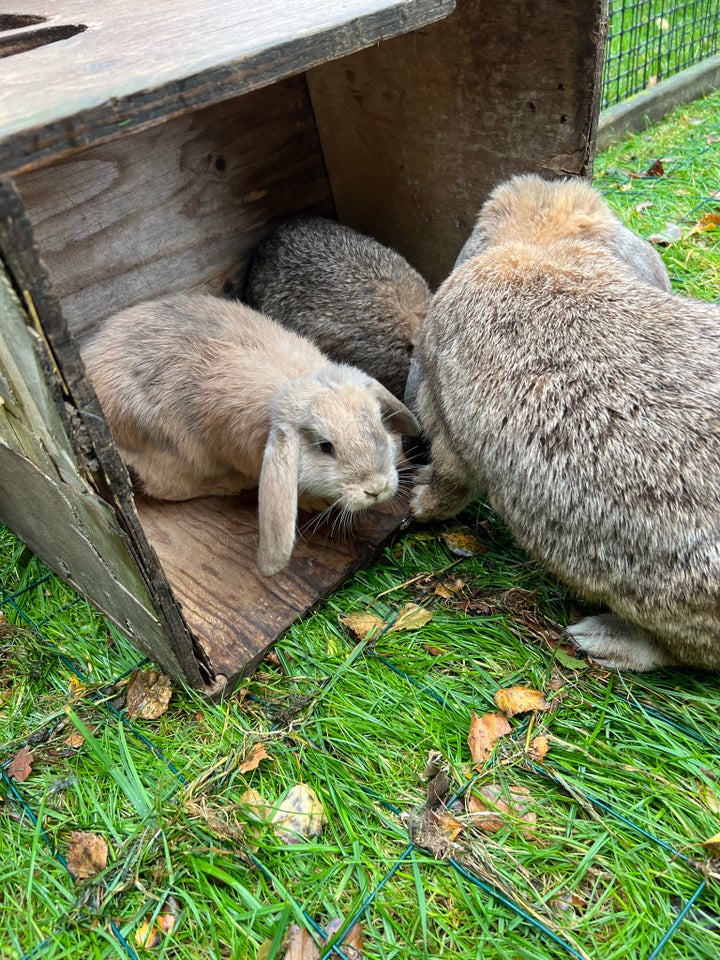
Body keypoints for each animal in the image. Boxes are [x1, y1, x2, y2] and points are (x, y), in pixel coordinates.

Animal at [79, 292, 420, 576]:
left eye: (378, 423)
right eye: (326, 447)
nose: (376, 488)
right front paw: (316, 503)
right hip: (169, 452)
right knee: (169, 488)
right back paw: (232, 483)